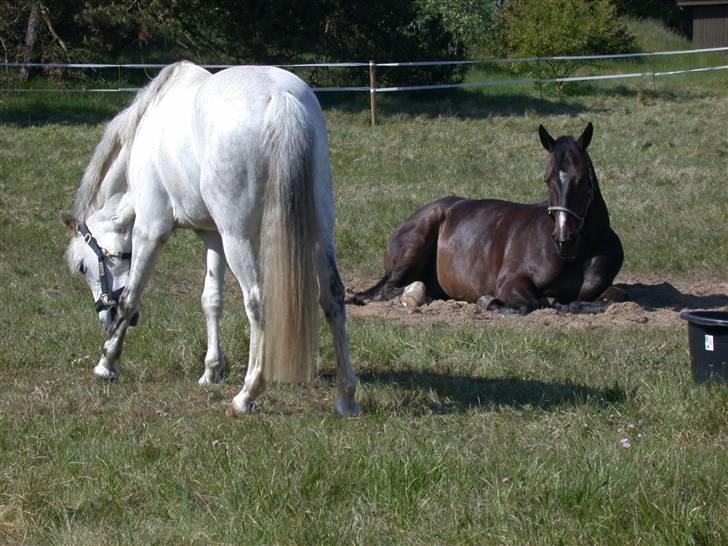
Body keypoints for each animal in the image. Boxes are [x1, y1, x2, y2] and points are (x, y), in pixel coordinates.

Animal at [62, 61, 361, 416]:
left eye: (82, 266)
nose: (104, 318)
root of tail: (279, 98)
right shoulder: (212, 236)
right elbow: (211, 300)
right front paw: (211, 372)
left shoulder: (150, 230)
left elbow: (131, 296)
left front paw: (106, 363)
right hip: (318, 231)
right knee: (333, 296)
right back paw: (347, 396)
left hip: (239, 238)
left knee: (257, 301)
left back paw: (247, 394)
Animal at [363, 122, 623, 314]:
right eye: (547, 179)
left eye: (582, 178)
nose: (563, 239)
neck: (580, 255)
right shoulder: (511, 283)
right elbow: (535, 303)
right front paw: (489, 301)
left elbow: (611, 298)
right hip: (414, 246)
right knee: (391, 288)